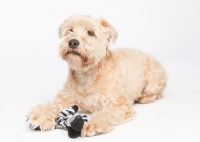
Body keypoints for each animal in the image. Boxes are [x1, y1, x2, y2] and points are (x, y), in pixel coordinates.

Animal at [27, 15, 167, 136]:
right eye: (70, 30)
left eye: (90, 33)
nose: (72, 42)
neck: (87, 75)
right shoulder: (66, 98)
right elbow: (53, 105)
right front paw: (40, 116)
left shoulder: (119, 105)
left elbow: (104, 114)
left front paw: (92, 124)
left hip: (154, 77)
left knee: (156, 93)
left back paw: (143, 97)